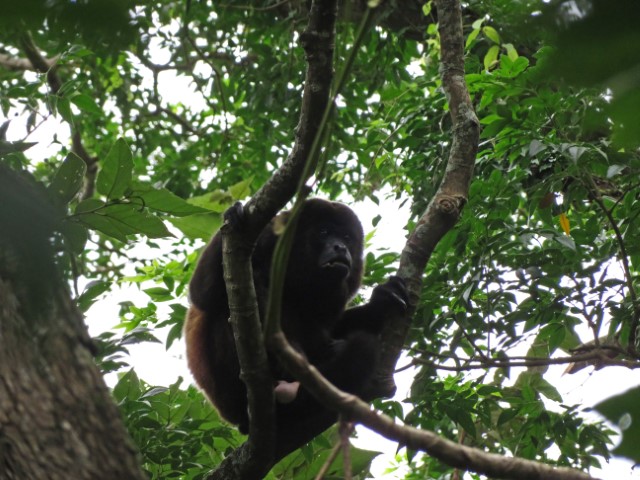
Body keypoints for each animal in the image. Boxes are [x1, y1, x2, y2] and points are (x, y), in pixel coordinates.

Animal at [184, 197, 404, 452]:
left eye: (347, 237)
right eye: (324, 232)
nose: (341, 247)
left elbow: (329, 326)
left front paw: (382, 301)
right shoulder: (268, 238)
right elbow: (202, 292)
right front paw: (233, 213)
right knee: (226, 310)